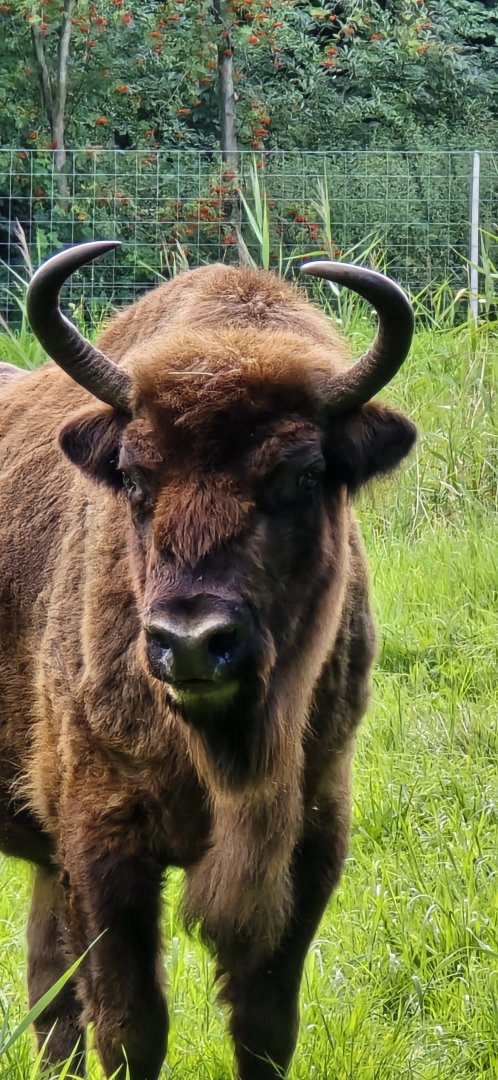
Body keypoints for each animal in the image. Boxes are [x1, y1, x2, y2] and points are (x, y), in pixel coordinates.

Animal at [0, 242, 416, 1079]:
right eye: (133, 477)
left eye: (304, 475)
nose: (192, 640)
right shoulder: (101, 847)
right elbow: (130, 1028)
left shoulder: (312, 840)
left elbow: (264, 1027)